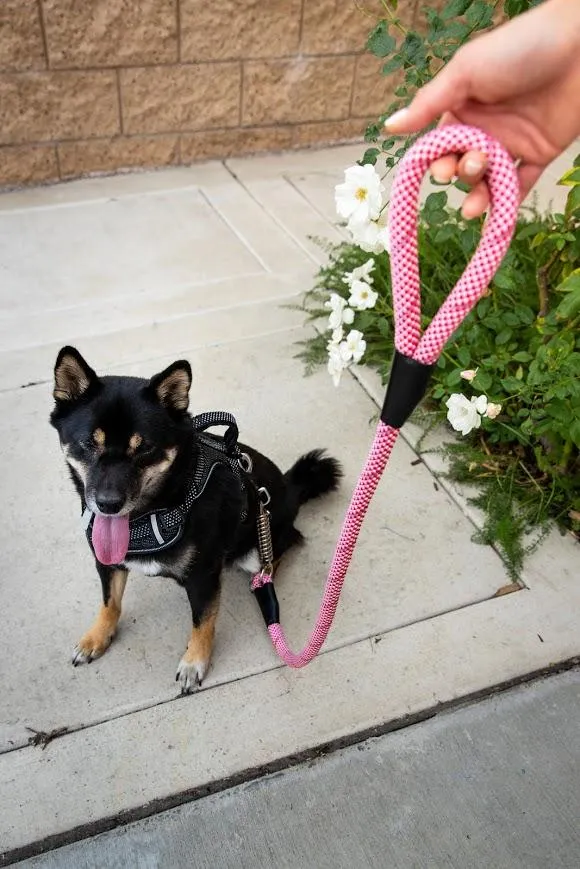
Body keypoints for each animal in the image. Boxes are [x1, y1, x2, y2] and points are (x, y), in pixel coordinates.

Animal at [49, 346, 342, 692]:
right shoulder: (107, 562)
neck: (153, 513)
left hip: (258, 547)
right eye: (88, 444)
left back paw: (263, 579)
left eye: (145, 448)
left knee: (280, 551)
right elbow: (110, 603)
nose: (108, 504)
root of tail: (289, 487)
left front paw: (194, 663)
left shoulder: (204, 577)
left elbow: (202, 622)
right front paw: (96, 637)